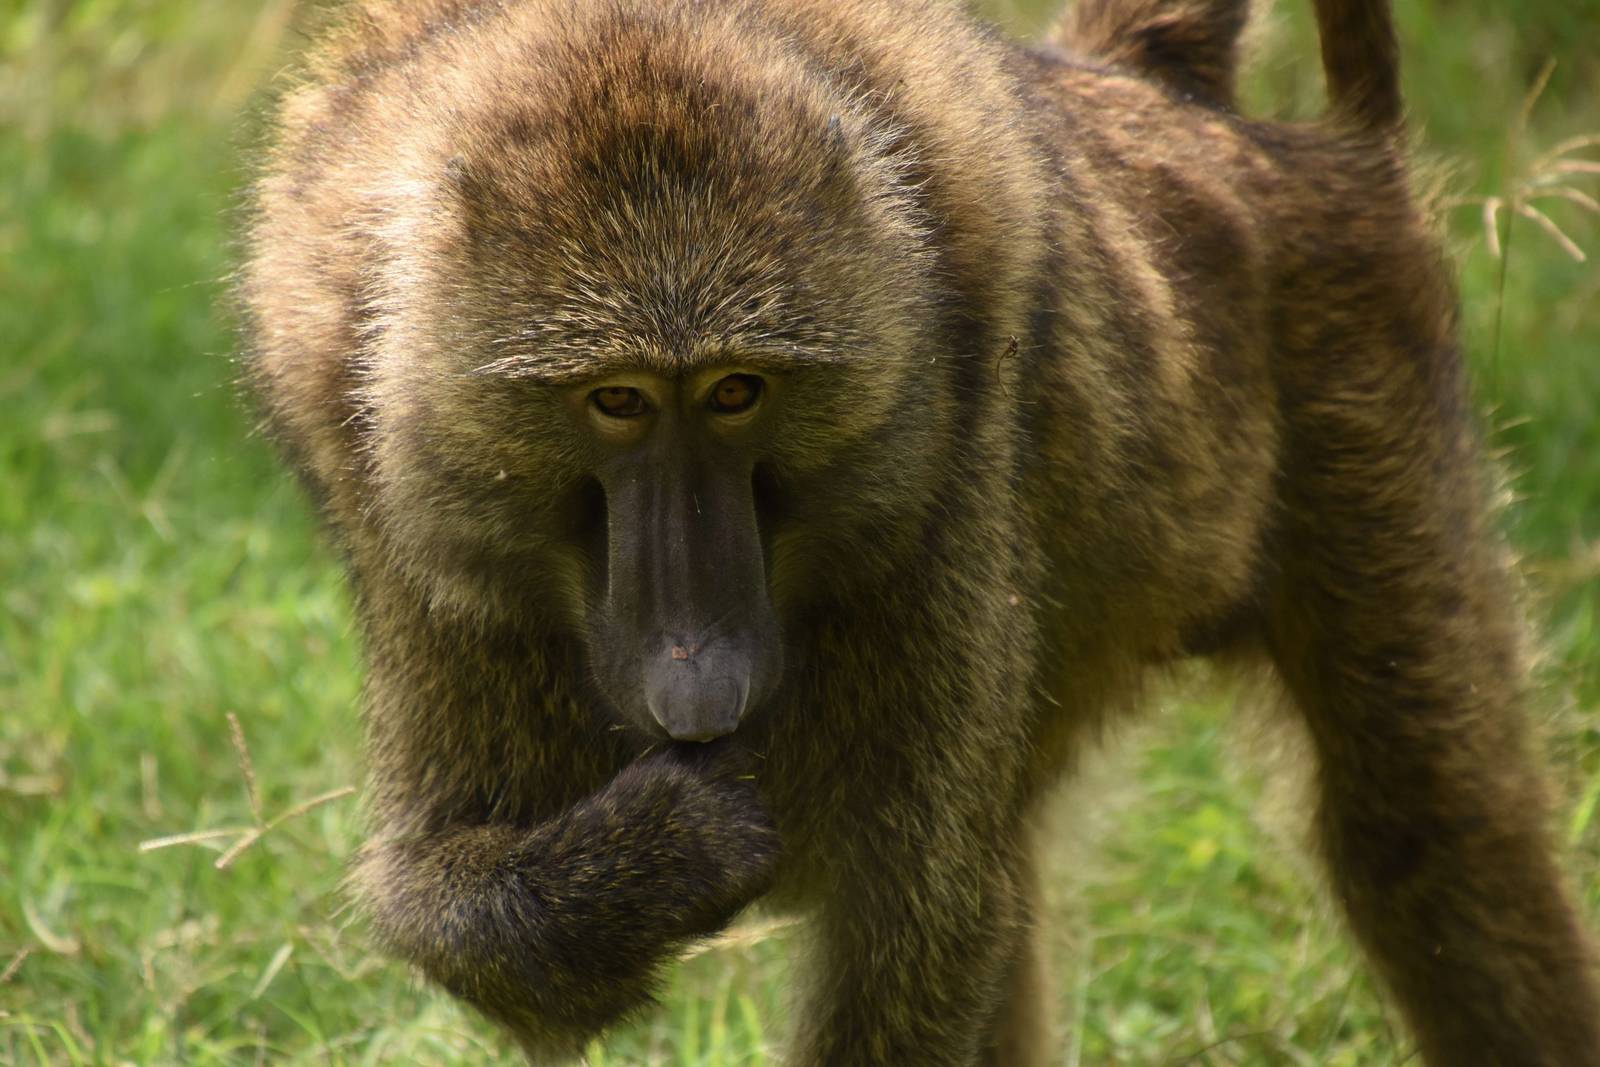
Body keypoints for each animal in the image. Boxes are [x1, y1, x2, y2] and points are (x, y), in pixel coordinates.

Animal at [240, 0, 1600, 1062]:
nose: (699, 674)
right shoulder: (408, 520)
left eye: (736, 391)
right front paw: (671, 846)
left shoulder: (950, 473)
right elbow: (445, 912)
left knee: (1423, 829)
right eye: (615, 399)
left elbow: (915, 930)